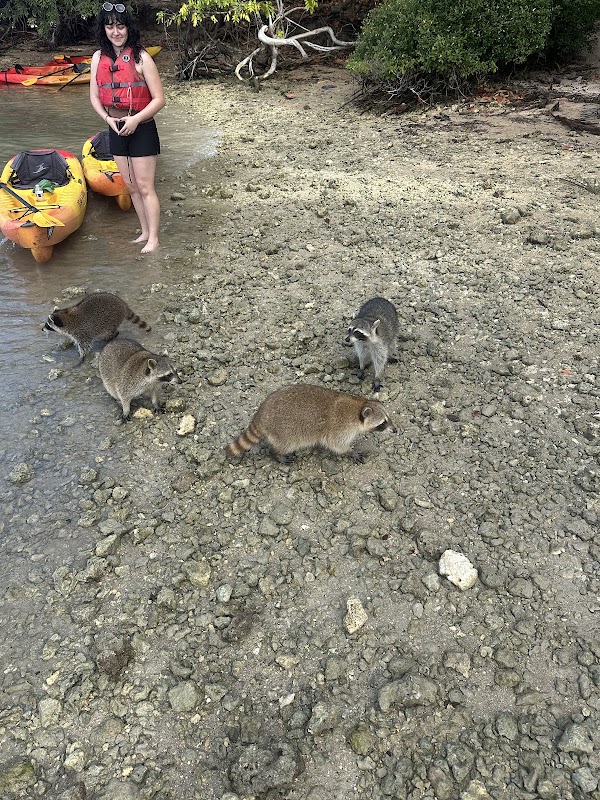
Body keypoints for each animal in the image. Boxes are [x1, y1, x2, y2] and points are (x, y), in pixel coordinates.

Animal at [226, 384, 395, 463]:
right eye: (383, 423)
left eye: (389, 418)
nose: (395, 430)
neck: (359, 406)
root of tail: (262, 413)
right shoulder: (340, 428)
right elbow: (336, 444)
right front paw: (350, 451)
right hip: (284, 432)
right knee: (284, 445)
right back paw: (276, 453)